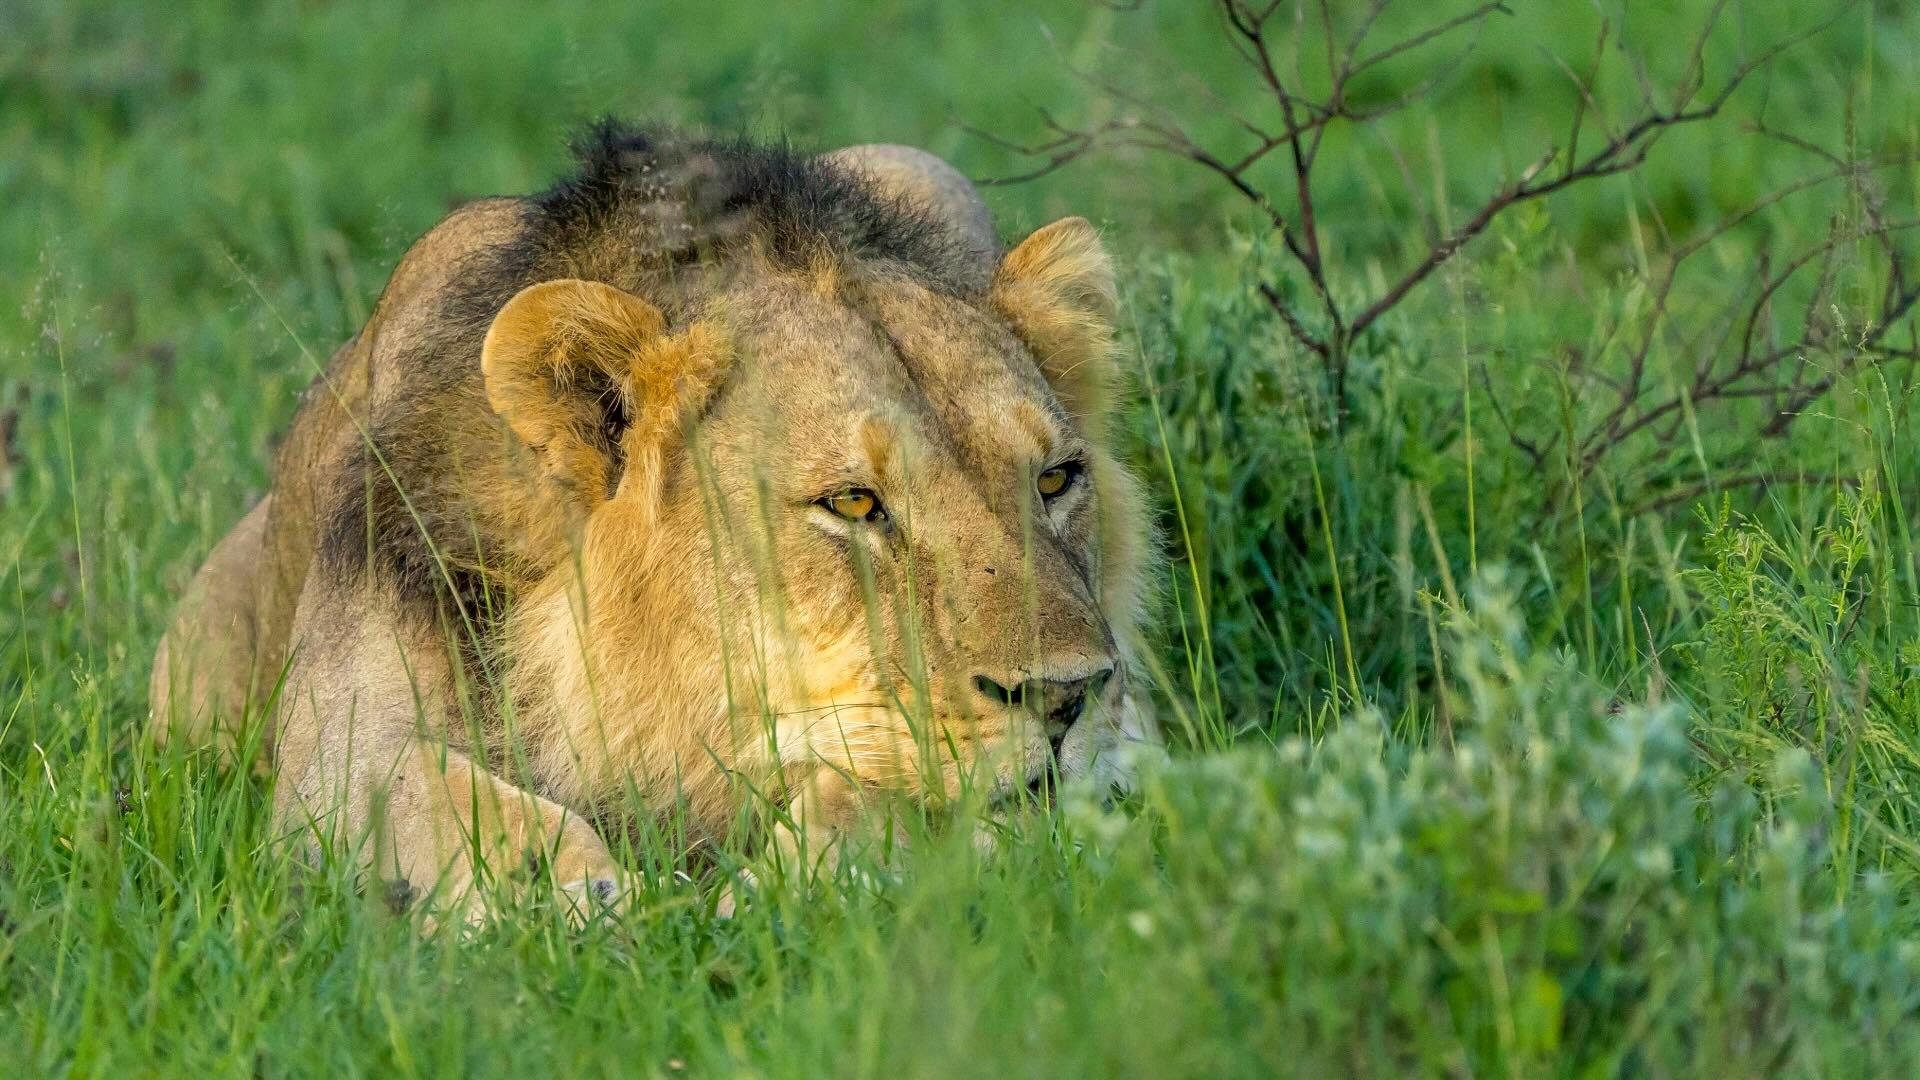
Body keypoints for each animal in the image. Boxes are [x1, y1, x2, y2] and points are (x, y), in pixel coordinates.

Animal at [148, 123, 1159, 918]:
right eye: (854, 503)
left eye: (1056, 479)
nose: (1069, 697)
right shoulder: (331, 757)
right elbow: (442, 798)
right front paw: (590, 905)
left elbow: (878, 784)